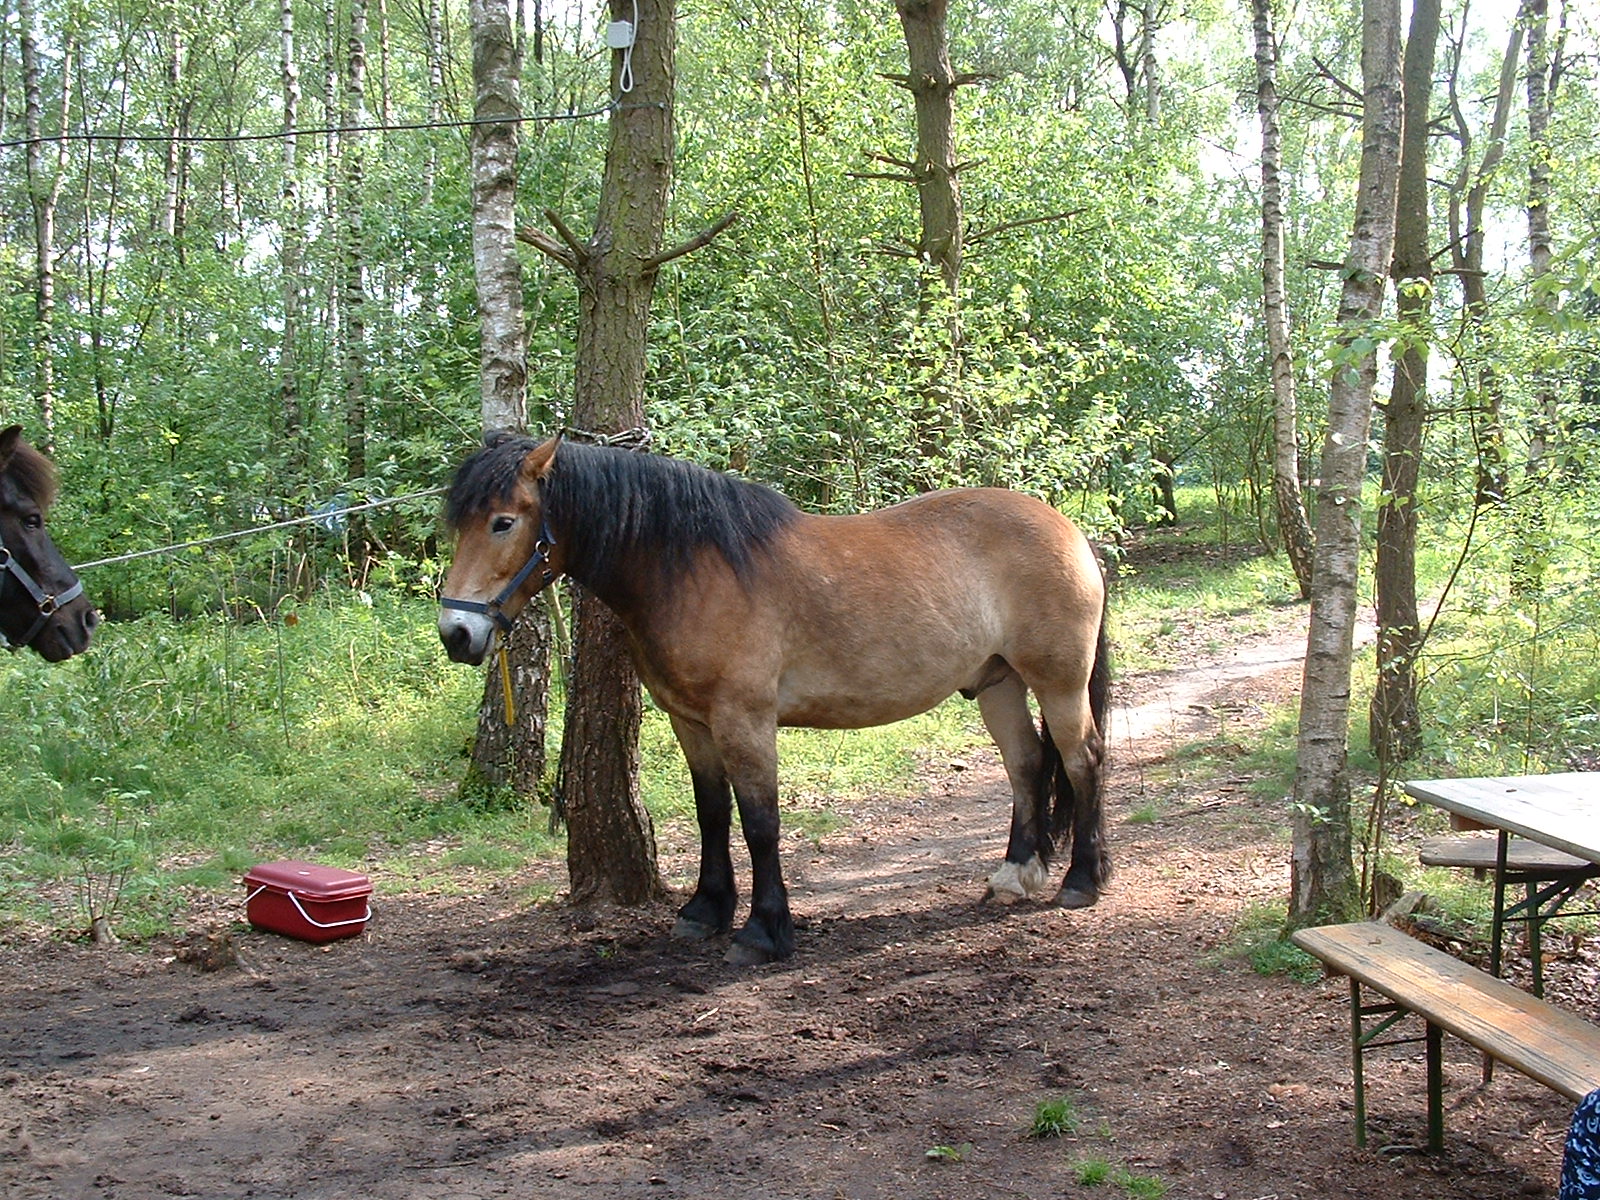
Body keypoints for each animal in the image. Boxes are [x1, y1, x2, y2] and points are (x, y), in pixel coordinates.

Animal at [438, 438, 1113, 966]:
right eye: (458, 524)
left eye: (503, 521)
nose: (457, 634)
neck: (690, 571)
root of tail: (1069, 531)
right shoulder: (692, 722)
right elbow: (712, 813)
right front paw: (705, 909)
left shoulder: (745, 720)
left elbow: (760, 822)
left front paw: (764, 931)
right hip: (999, 684)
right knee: (1026, 764)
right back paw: (1017, 873)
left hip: (1057, 682)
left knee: (1082, 761)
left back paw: (1081, 880)